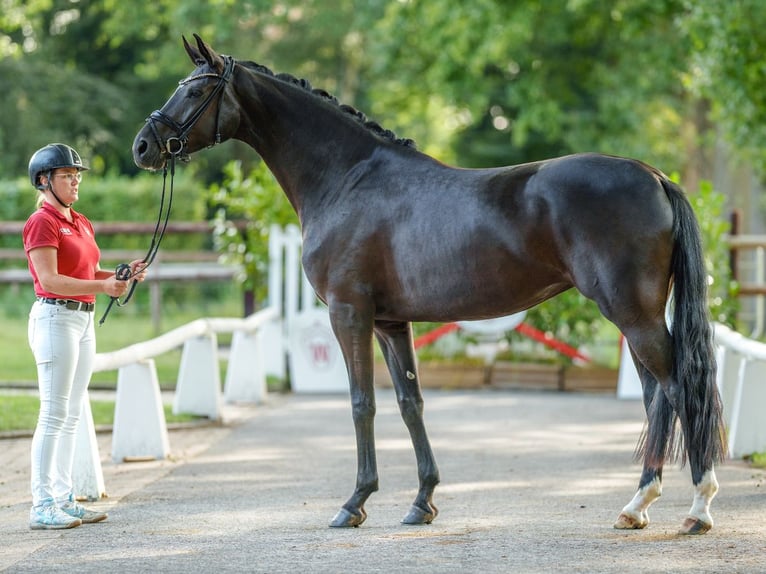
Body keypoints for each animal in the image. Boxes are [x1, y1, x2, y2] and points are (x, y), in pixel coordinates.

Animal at [132, 35, 728, 536]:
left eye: (198, 89)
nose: (143, 146)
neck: (347, 178)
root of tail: (654, 175)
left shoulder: (349, 314)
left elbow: (361, 403)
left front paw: (354, 503)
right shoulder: (391, 322)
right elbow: (409, 401)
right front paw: (422, 502)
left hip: (633, 315)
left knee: (677, 388)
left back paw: (698, 507)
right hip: (634, 317)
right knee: (657, 397)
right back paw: (636, 505)